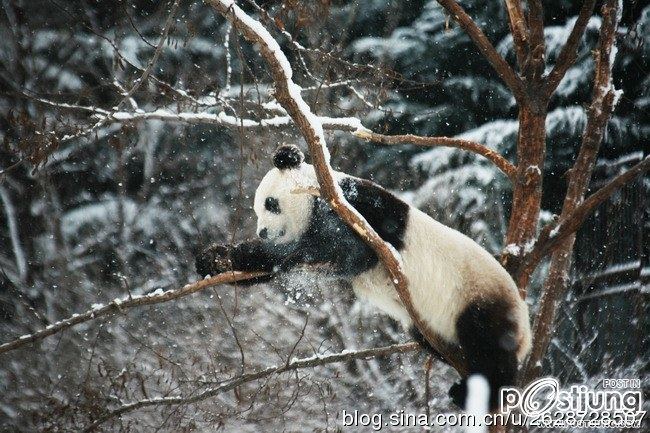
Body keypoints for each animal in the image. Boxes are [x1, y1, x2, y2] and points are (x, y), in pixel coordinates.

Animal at [196, 144, 532, 410]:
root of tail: (525, 328)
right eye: (257, 209)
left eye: (270, 204)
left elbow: (345, 249)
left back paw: (476, 394)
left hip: (476, 297)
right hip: (434, 327)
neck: (319, 192)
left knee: (489, 350)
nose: (263, 232)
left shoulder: (360, 208)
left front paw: (258, 254)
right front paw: (215, 258)